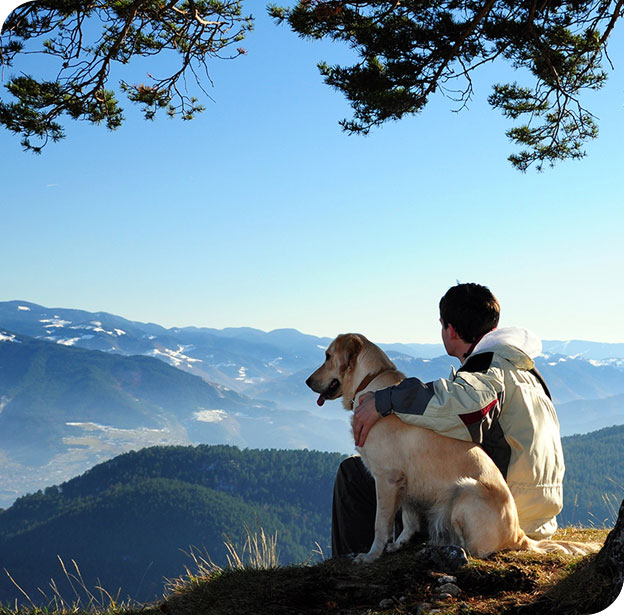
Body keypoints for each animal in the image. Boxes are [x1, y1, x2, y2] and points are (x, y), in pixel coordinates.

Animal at [308, 332, 600, 564]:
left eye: (327, 355)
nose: (308, 382)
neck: (369, 381)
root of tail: (519, 534)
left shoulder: (387, 479)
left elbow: (380, 524)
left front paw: (371, 555)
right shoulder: (407, 482)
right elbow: (409, 519)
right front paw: (399, 544)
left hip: (465, 492)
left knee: (478, 550)